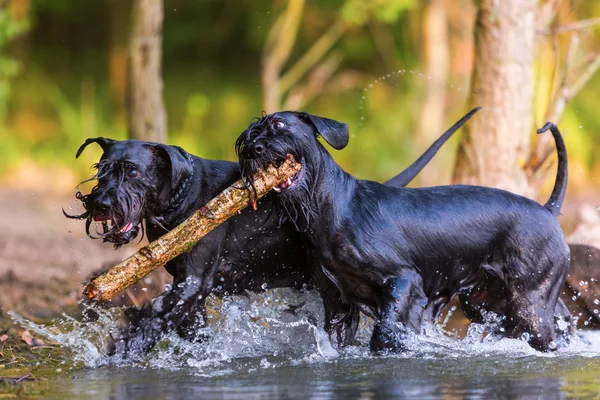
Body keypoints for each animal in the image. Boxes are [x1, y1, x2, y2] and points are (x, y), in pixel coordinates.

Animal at [65, 108, 478, 354]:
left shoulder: (194, 282)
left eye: (133, 171)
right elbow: (185, 326)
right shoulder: (189, 289)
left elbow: (152, 316)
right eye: (101, 169)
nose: (100, 202)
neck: (181, 195)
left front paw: (120, 350)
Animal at [236, 111, 572, 352]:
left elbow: (386, 332)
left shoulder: (404, 281)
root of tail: (548, 209)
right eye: (249, 134)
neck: (333, 207)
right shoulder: (337, 302)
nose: (253, 148)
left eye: (278, 123)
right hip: (489, 301)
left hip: (529, 305)